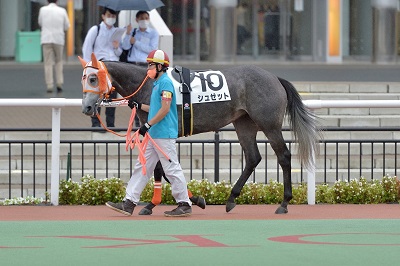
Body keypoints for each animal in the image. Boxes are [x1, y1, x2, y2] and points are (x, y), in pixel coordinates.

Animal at [79, 54, 320, 214]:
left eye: (93, 78)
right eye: (84, 78)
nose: (87, 108)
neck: (149, 84)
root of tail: (275, 77)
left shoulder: (161, 131)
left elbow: (162, 169)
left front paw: (185, 201)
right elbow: (160, 169)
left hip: (269, 124)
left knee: (283, 156)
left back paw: (284, 203)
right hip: (244, 123)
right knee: (253, 158)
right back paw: (231, 199)